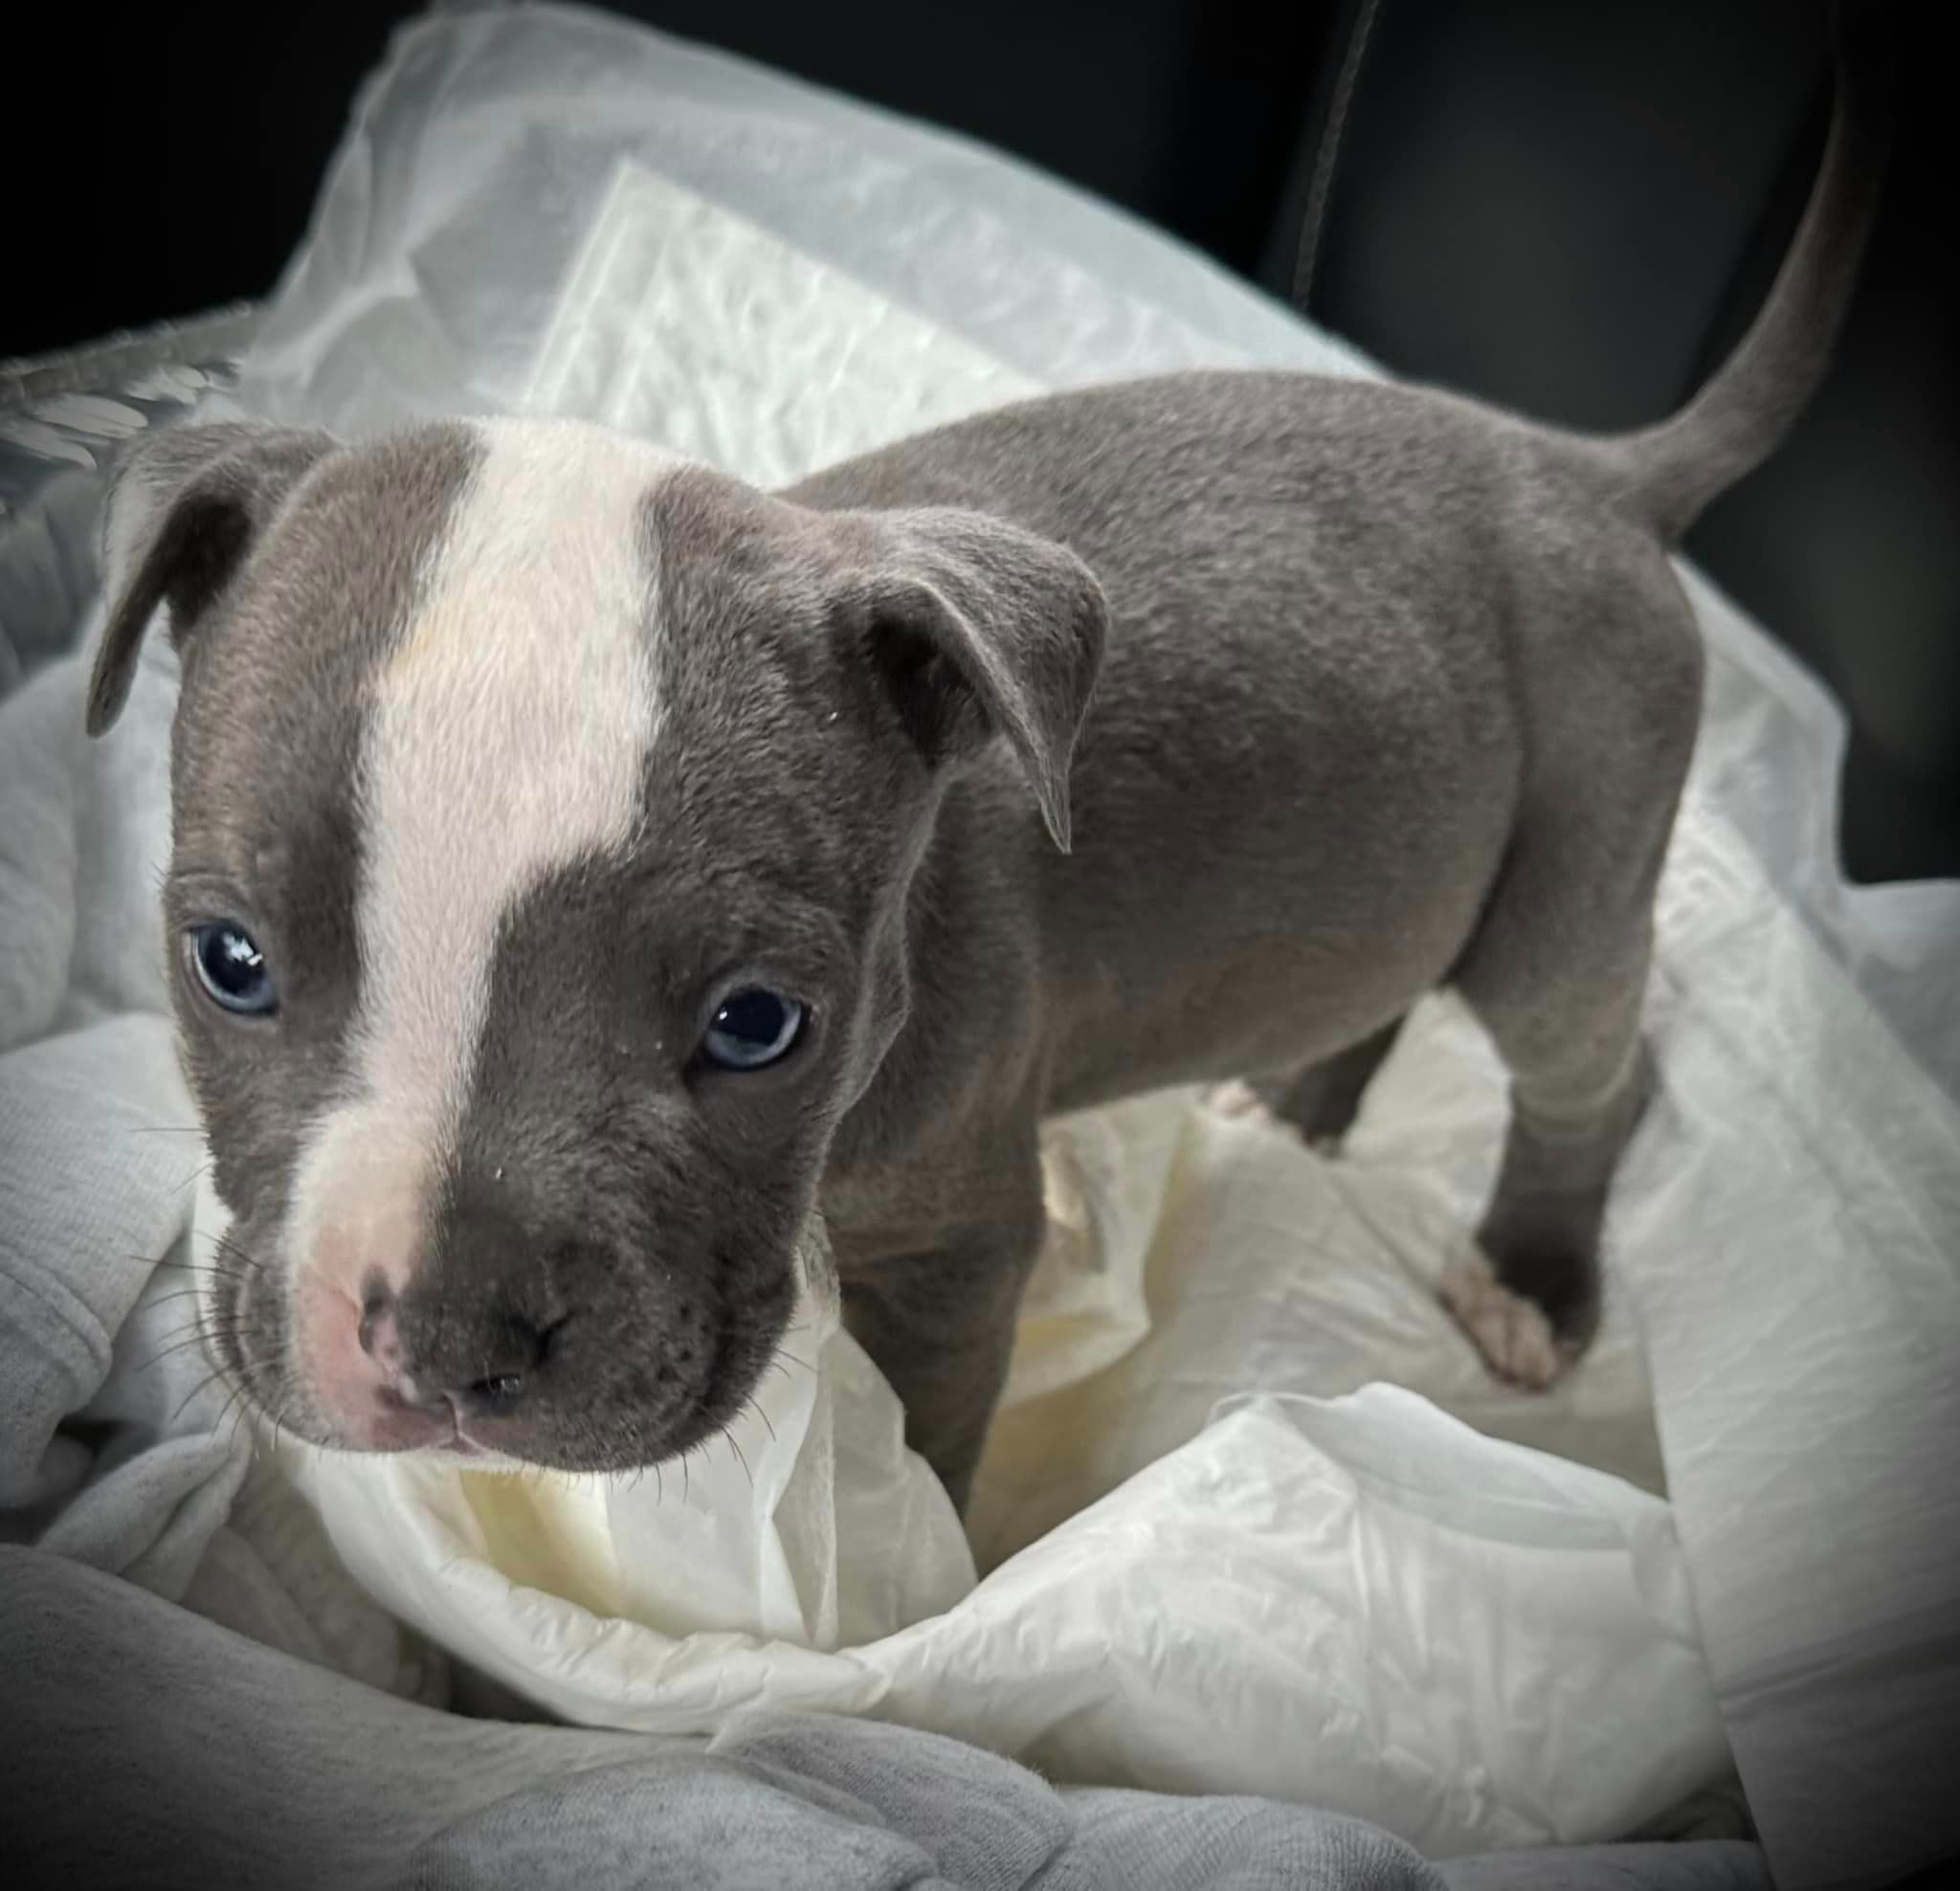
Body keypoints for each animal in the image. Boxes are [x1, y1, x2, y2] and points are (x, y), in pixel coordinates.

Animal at [88, 3, 1882, 1504]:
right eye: (229, 962)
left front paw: (901, 1598)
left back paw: (1527, 1274)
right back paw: (1297, 1100)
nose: (451, 1339)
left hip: (1577, 838)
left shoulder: (955, 1256)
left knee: (1590, 1061)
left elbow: (936, 1457)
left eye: (759, 1026)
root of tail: (1596, 474)